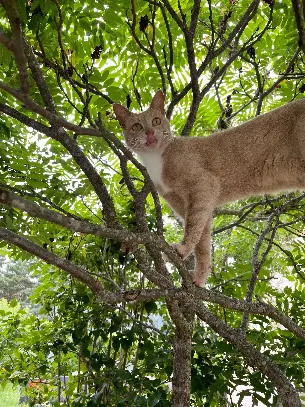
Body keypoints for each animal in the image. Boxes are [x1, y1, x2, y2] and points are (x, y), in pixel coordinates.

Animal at [113, 91, 304, 286]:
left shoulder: (203, 186)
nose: (150, 132)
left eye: (156, 121)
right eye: (136, 126)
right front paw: (199, 277)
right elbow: (202, 245)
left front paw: (182, 249)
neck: (156, 160)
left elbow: (193, 227)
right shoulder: (190, 205)